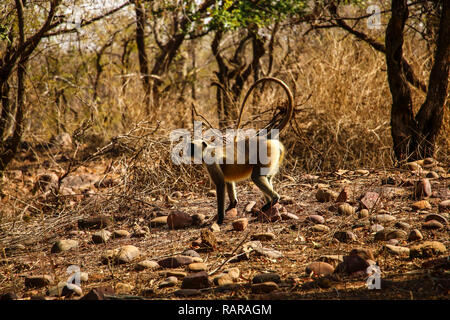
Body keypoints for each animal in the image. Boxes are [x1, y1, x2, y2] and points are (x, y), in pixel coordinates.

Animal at [188, 77, 294, 225]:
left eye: (192, 147)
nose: (188, 150)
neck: (208, 150)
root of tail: (264, 137)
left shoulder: (211, 162)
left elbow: (220, 184)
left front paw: (220, 219)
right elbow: (227, 181)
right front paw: (232, 205)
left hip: (266, 153)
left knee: (257, 177)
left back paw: (273, 199)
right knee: (267, 177)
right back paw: (269, 204)